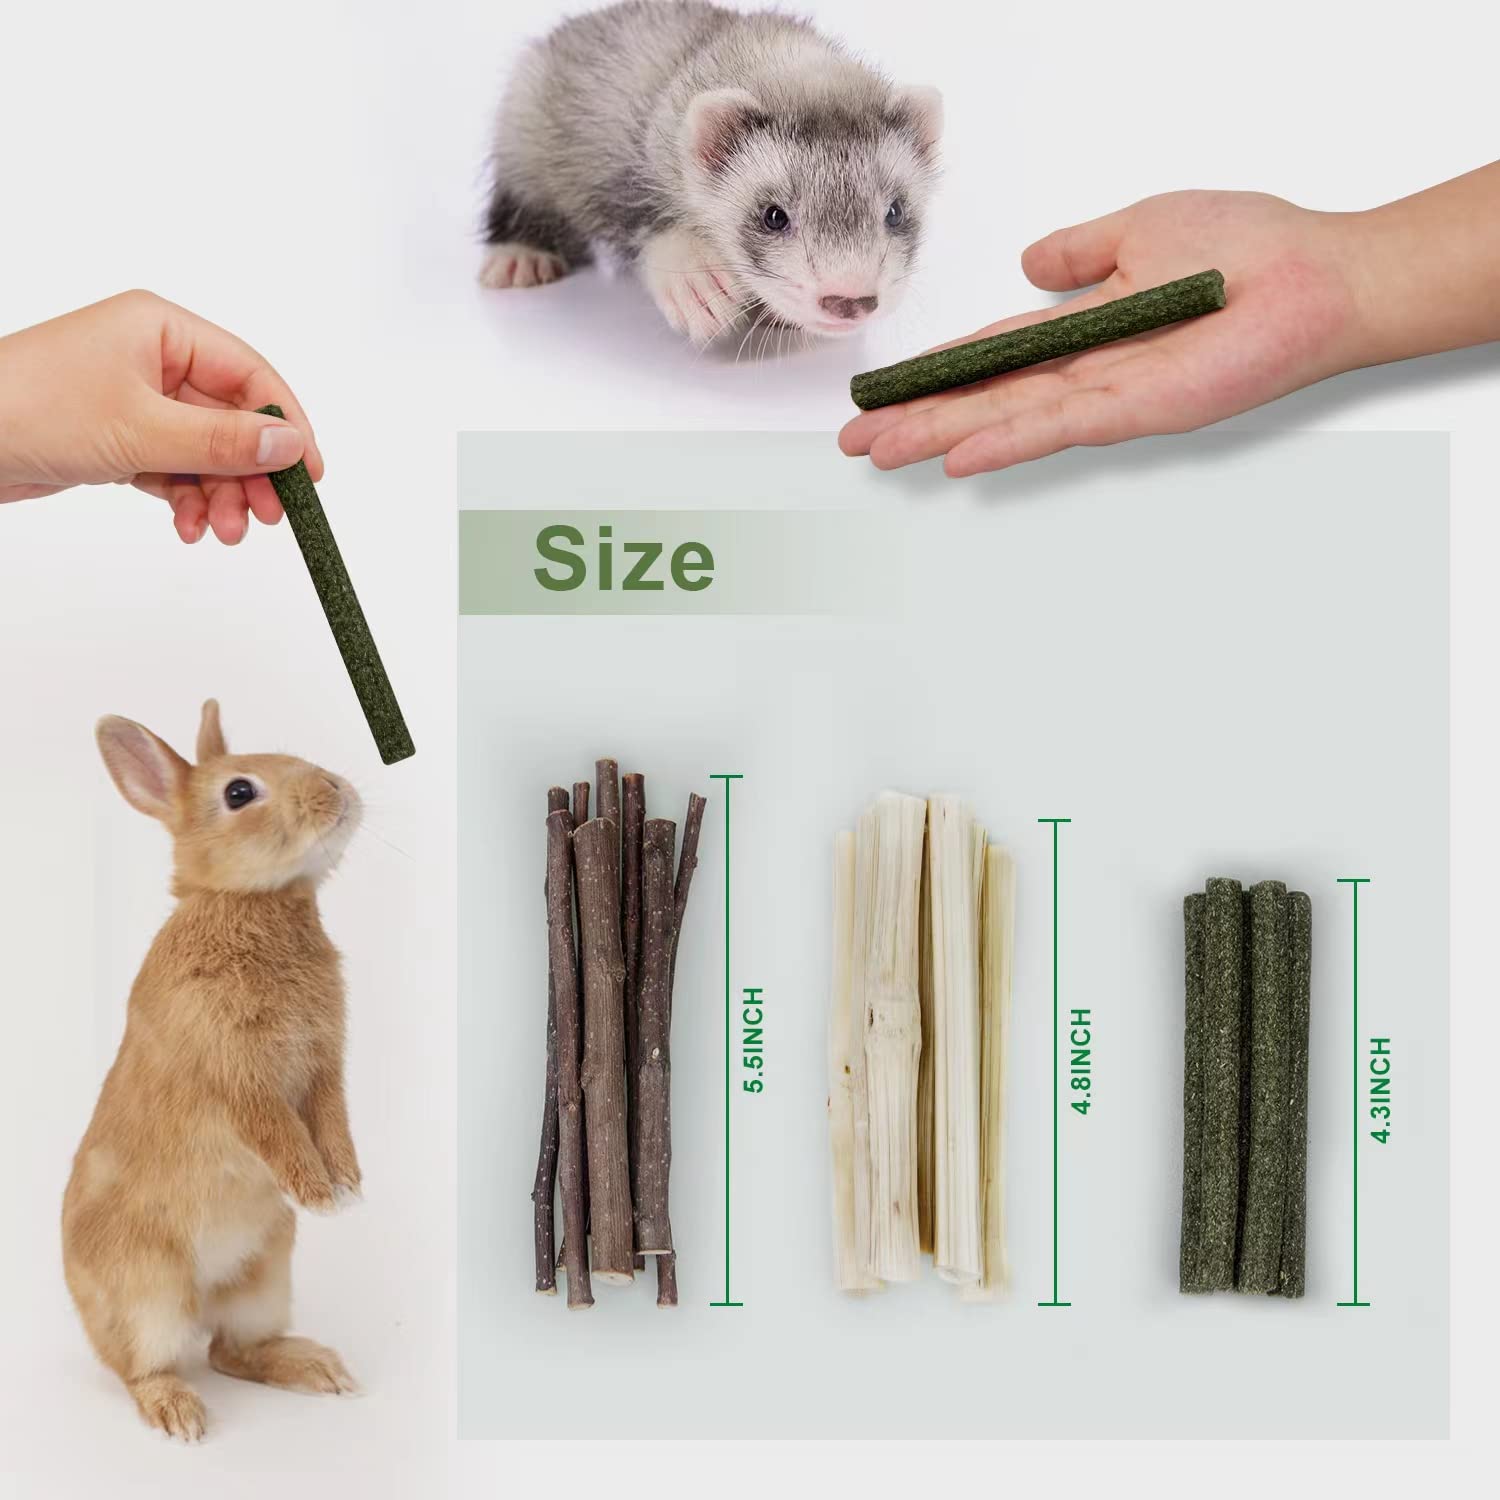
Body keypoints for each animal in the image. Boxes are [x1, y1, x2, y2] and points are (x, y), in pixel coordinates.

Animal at [62, 699, 364, 1442]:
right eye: (238, 793)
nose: (336, 789)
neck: (248, 903)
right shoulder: (236, 1077)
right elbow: (278, 1133)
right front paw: (321, 1195)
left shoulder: (325, 1065)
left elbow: (333, 1120)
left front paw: (348, 1187)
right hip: (148, 1296)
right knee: (146, 1366)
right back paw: (179, 1413)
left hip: (265, 1277)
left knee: (234, 1350)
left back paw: (317, 1369)